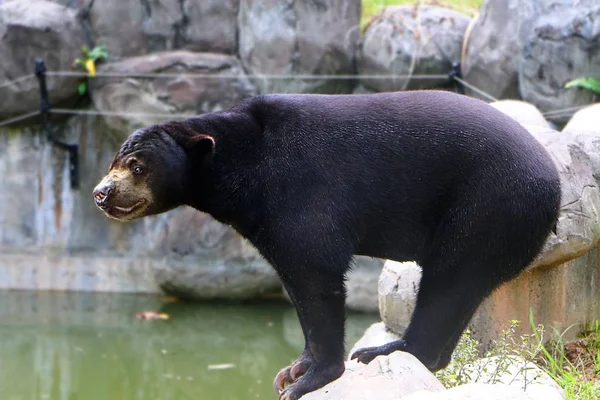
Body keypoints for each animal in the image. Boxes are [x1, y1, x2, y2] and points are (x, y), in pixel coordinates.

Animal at [91, 90, 560, 400]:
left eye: (137, 167)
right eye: (114, 162)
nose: (100, 193)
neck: (241, 165)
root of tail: (552, 183)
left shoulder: (300, 195)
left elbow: (315, 273)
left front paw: (308, 380)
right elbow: (298, 287)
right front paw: (293, 368)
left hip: (487, 205)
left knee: (448, 282)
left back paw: (386, 351)